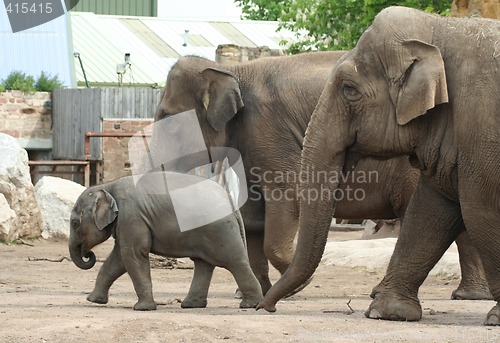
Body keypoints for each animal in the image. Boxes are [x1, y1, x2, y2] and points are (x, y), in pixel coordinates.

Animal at [69, 172, 264, 312]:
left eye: (75, 223)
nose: (88, 255)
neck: (107, 185)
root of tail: (230, 200)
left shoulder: (131, 216)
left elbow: (132, 254)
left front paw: (143, 308)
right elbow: (118, 259)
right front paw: (93, 300)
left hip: (220, 230)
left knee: (234, 262)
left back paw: (250, 305)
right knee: (204, 263)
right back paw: (191, 305)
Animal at [153, 49, 488, 300]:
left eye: (168, 117)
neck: (232, 69)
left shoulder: (269, 130)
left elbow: (285, 199)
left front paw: (295, 285)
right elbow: (253, 216)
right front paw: (258, 292)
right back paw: (468, 295)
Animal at [258, 6, 500, 326]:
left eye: (349, 89)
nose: (265, 307)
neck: (441, 28)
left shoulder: (482, 125)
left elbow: (480, 210)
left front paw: (496, 318)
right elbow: (431, 207)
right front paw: (386, 312)